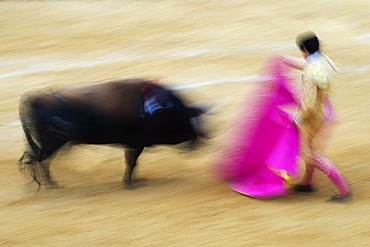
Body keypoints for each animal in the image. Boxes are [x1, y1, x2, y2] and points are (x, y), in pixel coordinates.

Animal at [18, 79, 207, 189]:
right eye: (187, 118)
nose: (203, 139)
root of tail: (36, 96)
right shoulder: (137, 143)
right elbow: (131, 162)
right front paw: (130, 184)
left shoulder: (134, 144)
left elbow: (133, 163)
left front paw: (134, 180)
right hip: (52, 143)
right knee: (40, 160)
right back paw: (51, 184)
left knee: (36, 158)